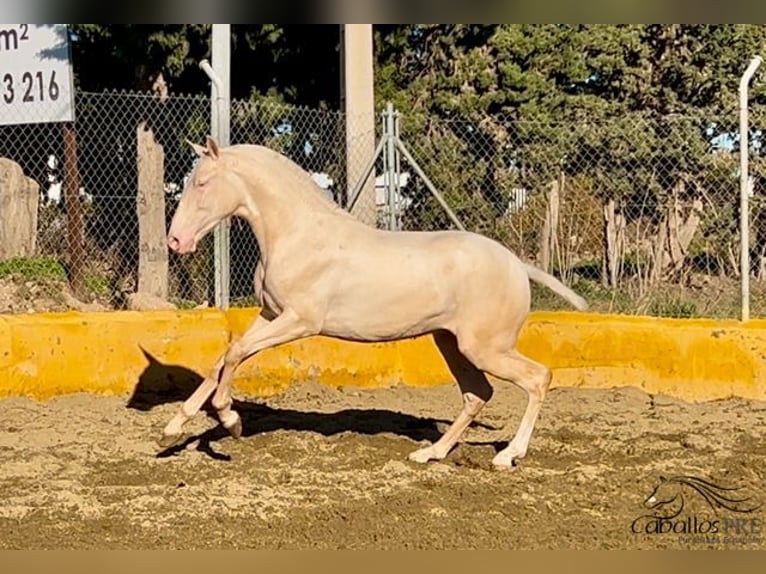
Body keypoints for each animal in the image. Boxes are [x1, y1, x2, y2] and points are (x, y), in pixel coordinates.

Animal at [162, 137, 588, 470]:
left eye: (202, 183)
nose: (176, 241)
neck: (297, 233)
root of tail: (517, 264)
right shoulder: (270, 314)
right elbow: (224, 357)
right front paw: (172, 429)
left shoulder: (300, 320)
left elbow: (235, 355)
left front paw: (230, 419)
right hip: (452, 344)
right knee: (477, 394)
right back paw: (430, 453)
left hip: (485, 348)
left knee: (537, 378)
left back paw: (507, 456)